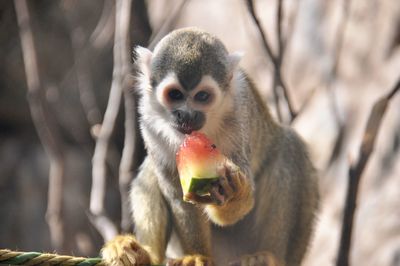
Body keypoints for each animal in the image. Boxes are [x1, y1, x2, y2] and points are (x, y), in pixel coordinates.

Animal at [102, 28, 318, 264]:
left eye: (202, 96)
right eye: (175, 94)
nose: (186, 115)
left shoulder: (237, 114)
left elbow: (244, 194)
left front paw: (234, 193)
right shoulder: (149, 119)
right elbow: (178, 197)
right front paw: (197, 256)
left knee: (289, 150)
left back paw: (268, 257)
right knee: (151, 171)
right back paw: (143, 256)